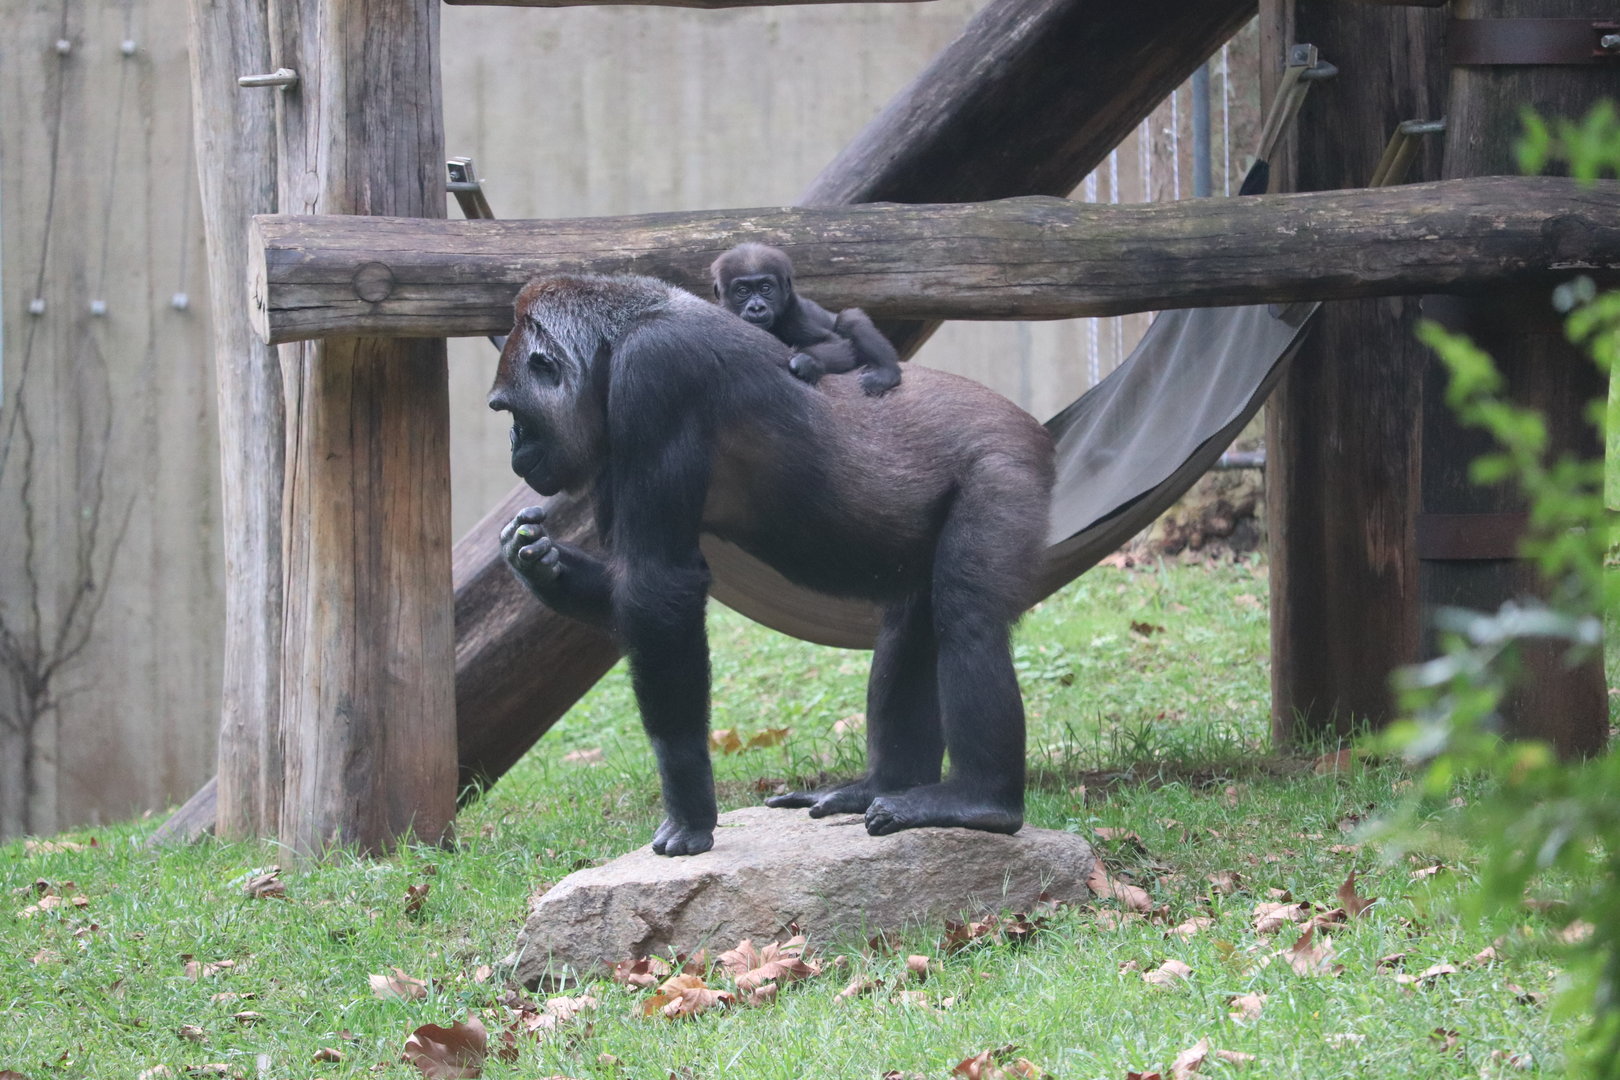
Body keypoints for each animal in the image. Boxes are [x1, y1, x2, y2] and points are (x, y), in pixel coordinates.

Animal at [488, 273, 1053, 856]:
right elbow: (629, 590)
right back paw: (881, 785)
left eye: (508, 410)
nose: (513, 443)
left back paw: (981, 800)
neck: (616, 338)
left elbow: (659, 586)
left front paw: (689, 809)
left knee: (968, 619)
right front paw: (543, 565)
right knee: (910, 628)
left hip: (1007, 462)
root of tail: (1032, 425)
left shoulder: (656, 371)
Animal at [710, 243, 903, 396]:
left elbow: (835, 343)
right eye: (742, 291)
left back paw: (887, 373)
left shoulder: (793, 313)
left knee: (851, 319)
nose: (757, 308)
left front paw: (807, 362)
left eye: (765, 288)